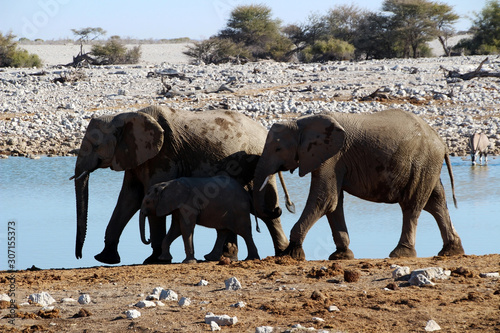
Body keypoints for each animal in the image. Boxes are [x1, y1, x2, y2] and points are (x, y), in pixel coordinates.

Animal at [70, 105, 290, 264]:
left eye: (96, 145)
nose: (79, 256)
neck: (123, 116)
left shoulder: (162, 155)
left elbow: (147, 199)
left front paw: (154, 260)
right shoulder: (135, 156)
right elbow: (129, 198)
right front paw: (105, 259)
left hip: (260, 161)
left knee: (265, 208)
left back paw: (279, 253)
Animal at [254, 108, 464, 260]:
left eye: (278, 149)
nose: (286, 207)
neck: (301, 122)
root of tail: (442, 142)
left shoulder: (331, 158)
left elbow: (324, 199)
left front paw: (291, 254)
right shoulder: (332, 159)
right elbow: (334, 202)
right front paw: (341, 255)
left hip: (421, 164)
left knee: (412, 205)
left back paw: (401, 254)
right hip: (428, 166)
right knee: (436, 202)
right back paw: (451, 251)